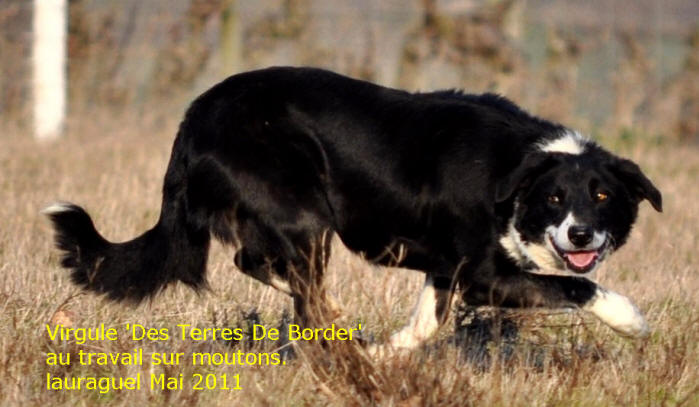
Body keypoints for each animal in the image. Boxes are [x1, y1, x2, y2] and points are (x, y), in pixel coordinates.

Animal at [43, 66, 660, 350]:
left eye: (602, 197)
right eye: (554, 198)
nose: (581, 235)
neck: (513, 171)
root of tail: (194, 117)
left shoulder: (447, 270)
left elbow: (426, 327)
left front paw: (388, 358)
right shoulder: (484, 274)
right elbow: (578, 287)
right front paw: (630, 321)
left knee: (260, 266)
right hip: (303, 213)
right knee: (289, 285)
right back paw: (336, 328)